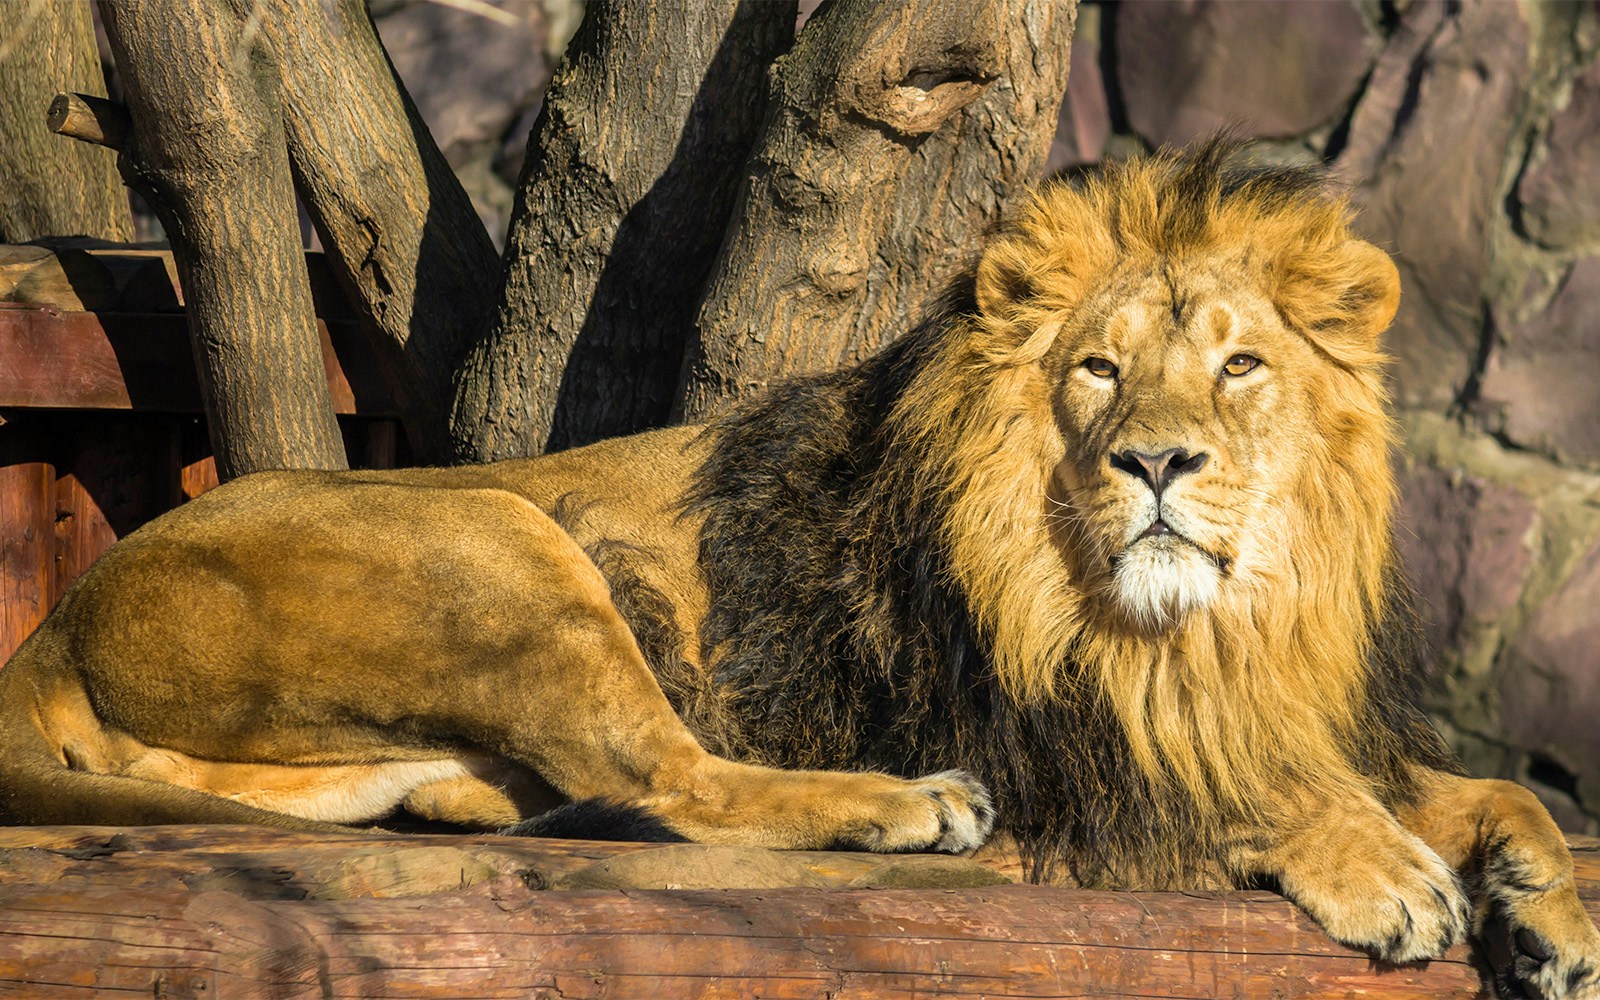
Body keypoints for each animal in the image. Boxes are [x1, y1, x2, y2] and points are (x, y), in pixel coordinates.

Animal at [1, 139, 1595, 997]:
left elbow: (1481, 786)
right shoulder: (1063, 740)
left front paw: (1547, 907)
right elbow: (1227, 788)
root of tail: (58, 623)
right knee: (674, 778)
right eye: (1097, 370)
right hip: (506, 539)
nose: (1157, 462)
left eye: (1241, 365)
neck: (1198, 631)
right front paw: (1391, 874)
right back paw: (911, 807)